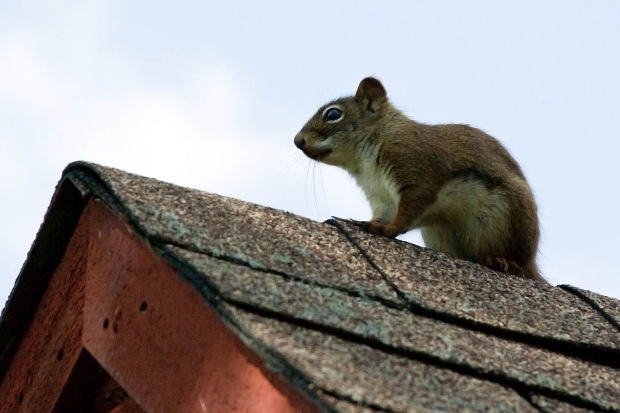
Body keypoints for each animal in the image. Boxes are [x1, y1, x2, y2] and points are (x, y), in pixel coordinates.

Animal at [296, 75, 544, 282]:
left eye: (333, 114)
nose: (297, 141)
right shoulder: (380, 196)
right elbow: (383, 213)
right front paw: (365, 222)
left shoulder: (415, 171)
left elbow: (408, 211)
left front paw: (388, 230)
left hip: (506, 222)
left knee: (517, 263)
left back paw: (502, 261)